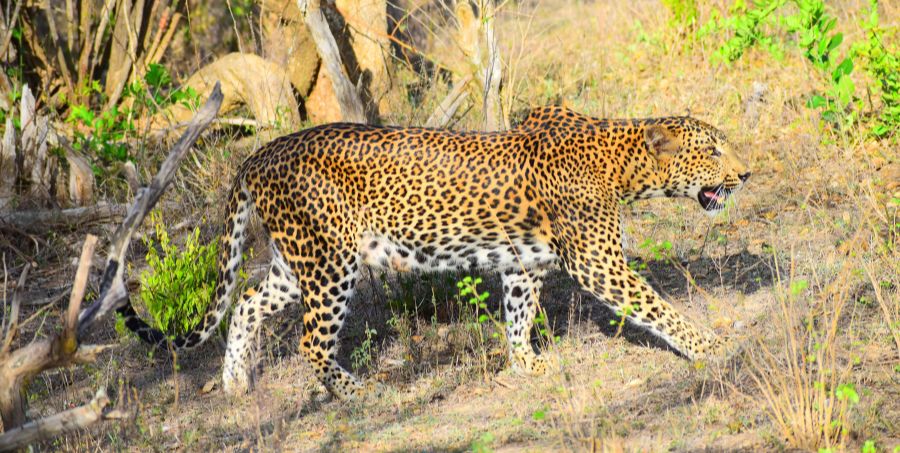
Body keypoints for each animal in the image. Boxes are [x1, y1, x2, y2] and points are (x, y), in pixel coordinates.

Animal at [119, 106, 750, 401]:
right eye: (714, 150)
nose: (746, 173)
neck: (623, 165)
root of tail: (257, 154)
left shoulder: (523, 261)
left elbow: (519, 315)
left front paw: (526, 364)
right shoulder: (601, 264)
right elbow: (658, 307)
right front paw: (712, 346)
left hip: (297, 262)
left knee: (247, 300)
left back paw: (235, 384)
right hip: (330, 264)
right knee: (310, 342)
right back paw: (361, 393)